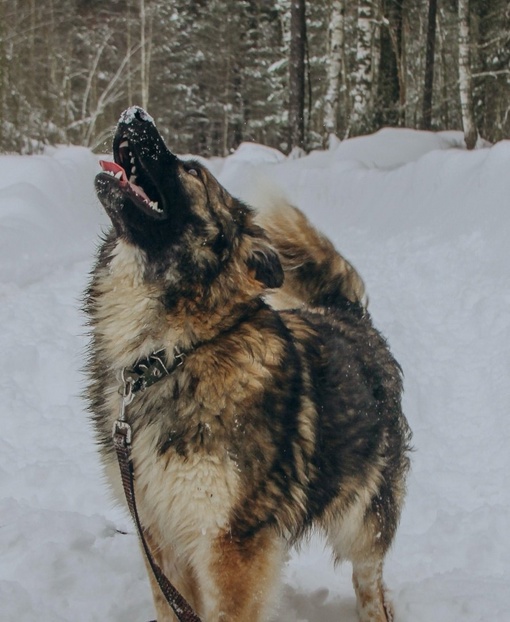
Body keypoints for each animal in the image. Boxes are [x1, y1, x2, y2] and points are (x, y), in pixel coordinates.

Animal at [83, 108, 410, 622]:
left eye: (193, 170)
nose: (135, 114)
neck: (172, 353)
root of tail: (347, 312)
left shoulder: (230, 544)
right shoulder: (159, 535)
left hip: (364, 518)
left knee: (371, 584)